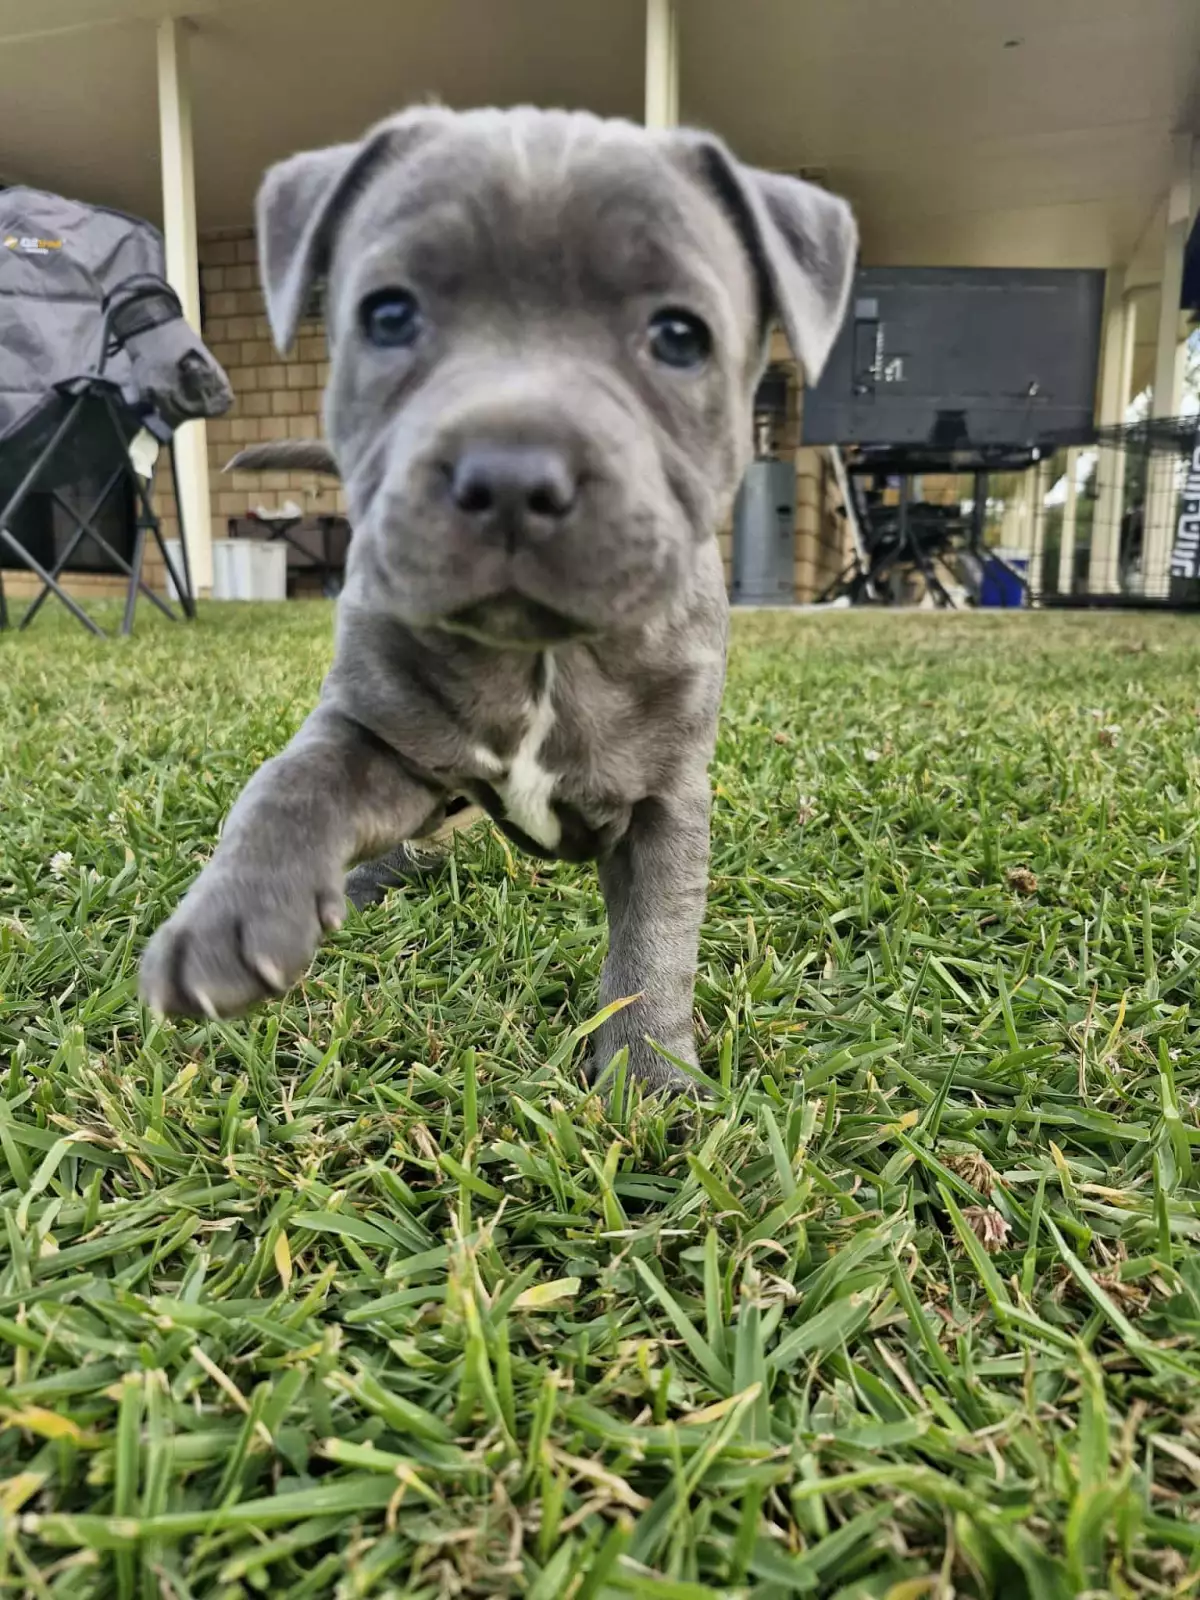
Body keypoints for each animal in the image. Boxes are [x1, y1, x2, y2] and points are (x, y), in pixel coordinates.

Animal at [140, 105, 856, 1095]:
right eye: (389, 314)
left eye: (679, 336)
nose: (513, 475)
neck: (543, 655)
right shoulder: (375, 729)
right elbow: (289, 784)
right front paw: (230, 918)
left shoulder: (668, 802)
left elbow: (655, 942)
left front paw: (649, 1074)